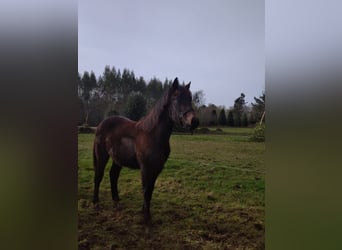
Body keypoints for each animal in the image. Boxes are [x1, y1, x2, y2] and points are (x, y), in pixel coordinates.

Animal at [92, 76, 196, 225]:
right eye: (175, 97)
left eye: (190, 98)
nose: (194, 121)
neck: (152, 135)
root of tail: (101, 124)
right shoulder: (145, 167)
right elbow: (146, 189)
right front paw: (146, 217)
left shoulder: (157, 168)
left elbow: (150, 189)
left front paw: (144, 212)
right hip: (102, 156)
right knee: (98, 176)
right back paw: (96, 202)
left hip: (118, 159)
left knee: (113, 175)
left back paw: (116, 201)